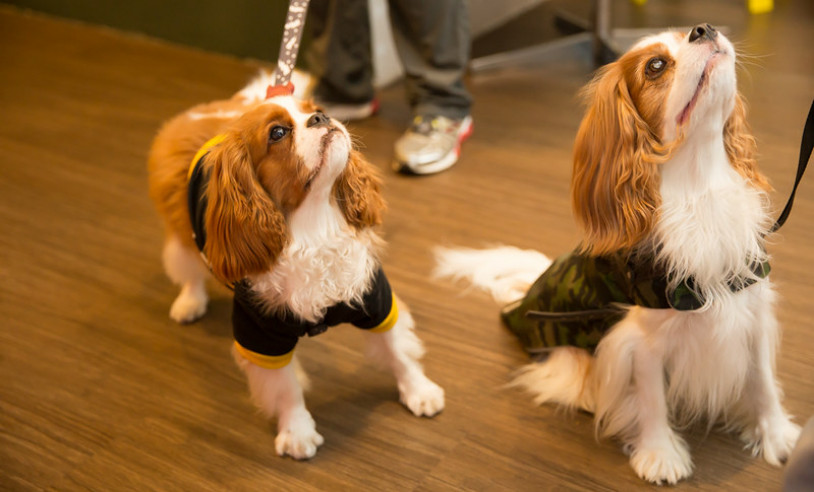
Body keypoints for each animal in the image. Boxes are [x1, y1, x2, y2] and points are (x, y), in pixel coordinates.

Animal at [150, 71, 450, 460]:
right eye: (278, 133)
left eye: (318, 109)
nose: (321, 118)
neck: (314, 225)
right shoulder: (259, 335)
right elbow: (286, 390)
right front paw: (297, 432)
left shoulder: (375, 299)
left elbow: (399, 352)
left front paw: (419, 391)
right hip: (183, 235)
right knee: (189, 272)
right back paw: (189, 302)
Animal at [436, 25, 800, 482]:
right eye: (656, 66)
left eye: (689, 32)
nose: (704, 28)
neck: (699, 189)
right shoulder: (638, 340)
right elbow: (652, 397)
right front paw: (660, 455)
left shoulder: (751, 311)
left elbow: (763, 380)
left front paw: (777, 436)